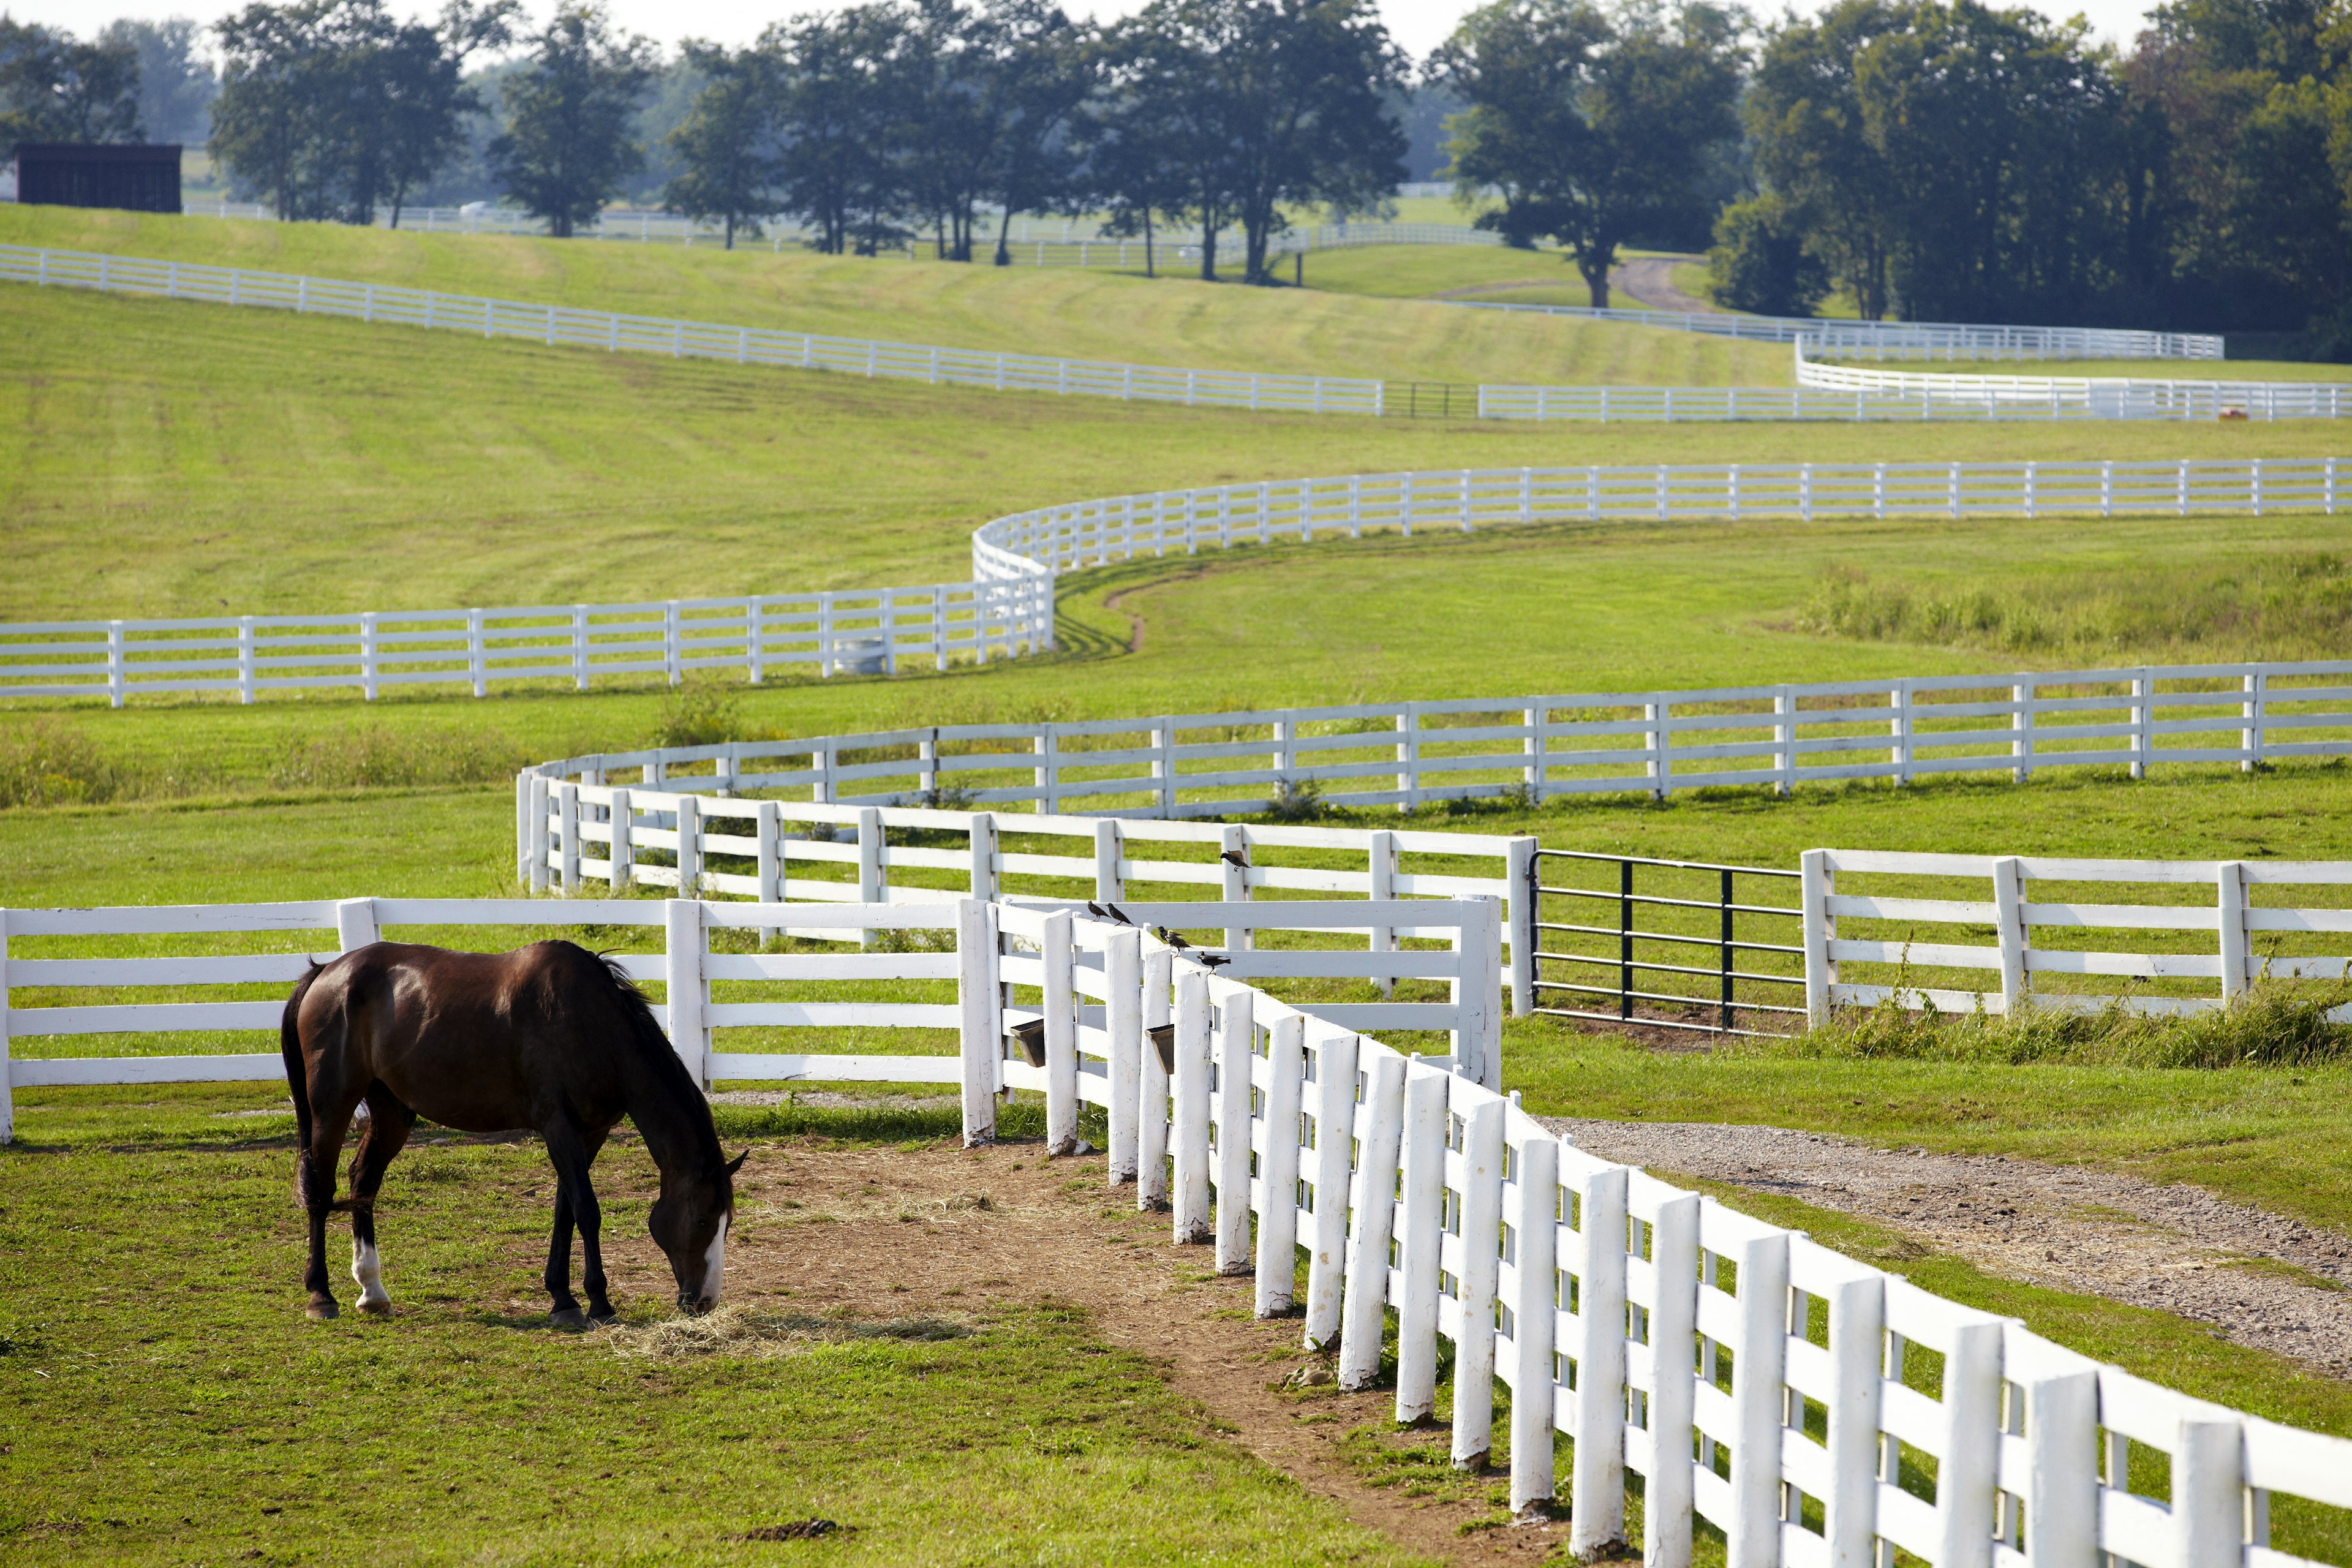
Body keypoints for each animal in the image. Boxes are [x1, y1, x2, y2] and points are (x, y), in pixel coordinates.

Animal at [284, 944, 743, 1325]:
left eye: (727, 1223)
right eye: (702, 1219)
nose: (705, 1302)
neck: (591, 1023)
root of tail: (328, 973)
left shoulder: (590, 1132)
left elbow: (565, 1211)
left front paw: (562, 1299)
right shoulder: (558, 1126)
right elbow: (587, 1211)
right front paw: (598, 1303)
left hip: (392, 1112)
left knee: (363, 1182)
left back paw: (372, 1291)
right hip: (332, 1107)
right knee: (321, 1190)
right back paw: (321, 1296)